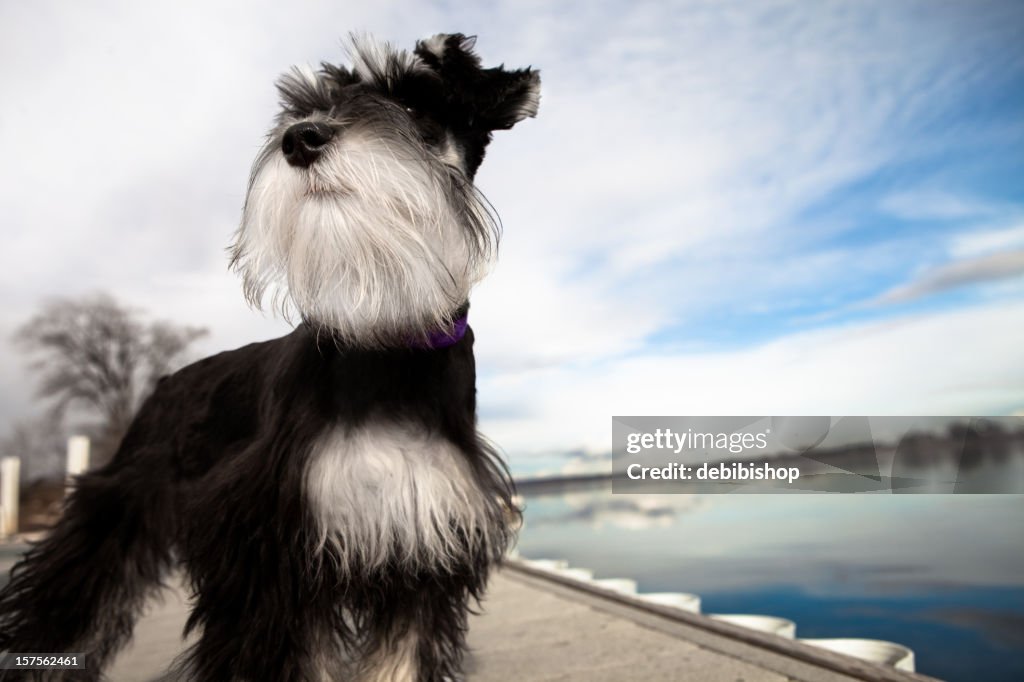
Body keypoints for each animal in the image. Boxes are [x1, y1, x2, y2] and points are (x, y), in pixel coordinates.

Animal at [0, 33, 540, 679]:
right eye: (307, 105)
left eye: (413, 104)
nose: (301, 139)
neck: (386, 341)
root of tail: (164, 382)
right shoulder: (264, 553)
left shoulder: (424, 551)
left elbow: (402, 658)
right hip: (112, 514)